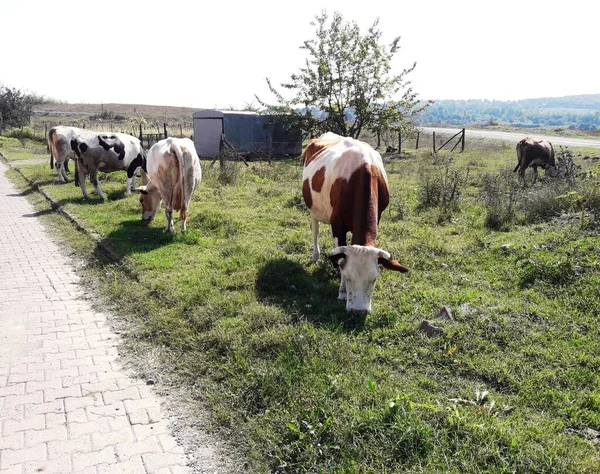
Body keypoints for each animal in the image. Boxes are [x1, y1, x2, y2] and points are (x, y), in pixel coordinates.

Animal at [302, 131, 410, 314]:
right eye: (347, 277)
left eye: (374, 279)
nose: (359, 311)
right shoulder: (337, 225)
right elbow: (340, 260)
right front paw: (342, 292)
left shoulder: (378, 216)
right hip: (313, 208)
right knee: (315, 229)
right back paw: (315, 255)